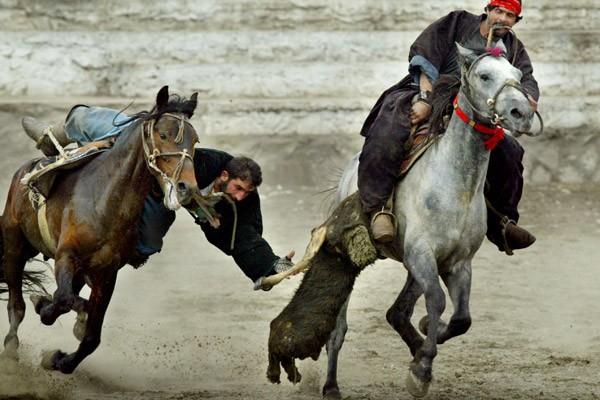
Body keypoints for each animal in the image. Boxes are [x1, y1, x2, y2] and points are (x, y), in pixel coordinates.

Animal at [0, 86, 200, 374]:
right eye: (162, 135)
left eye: (195, 141)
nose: (187, 187)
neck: (105, 201)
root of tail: (24, 171)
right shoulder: (66, 256)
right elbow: (64, 299)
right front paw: (49, 308)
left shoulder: (106, 273)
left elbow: (91, 337)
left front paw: (59, 358)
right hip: (14, 245)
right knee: (17, 304)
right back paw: (11, 350)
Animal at [322, 42, 540, 398]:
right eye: (484, 75)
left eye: (518, 76)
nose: (520, 112)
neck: (456, 185)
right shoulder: (421, 253)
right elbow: (436, 300)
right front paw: (422, 369)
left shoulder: (458, 262)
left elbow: (461, 318)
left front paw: (424, 342)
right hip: (358, 258)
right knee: (338, 328)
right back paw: (330, 384)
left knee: (397, 313)